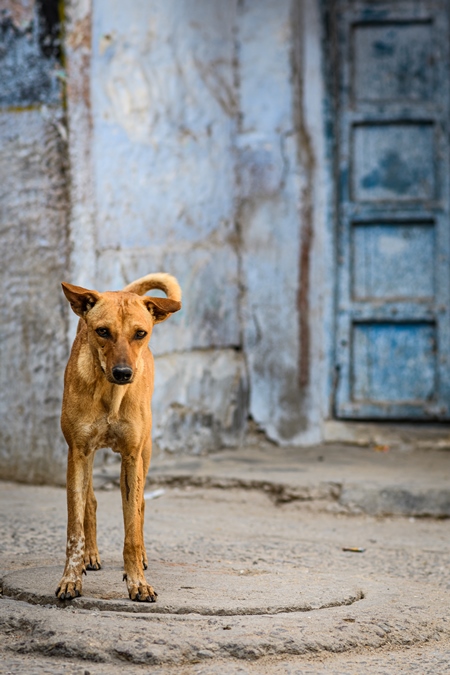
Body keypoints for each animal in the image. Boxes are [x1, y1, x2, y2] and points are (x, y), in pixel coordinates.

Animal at [56, 274, 181, 604]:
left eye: (140, 333)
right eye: (102, 331)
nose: (124, 372)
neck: (110, 394)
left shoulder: (131, 456)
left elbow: (131, 529)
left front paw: (137, 580)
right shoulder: (78, 452)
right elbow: (75, 528)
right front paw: (70, 579)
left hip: (145, 453)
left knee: (141, 506)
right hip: (86, 459)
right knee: (90, 501)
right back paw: (90, 557)